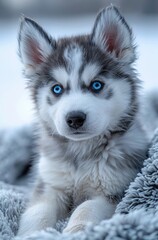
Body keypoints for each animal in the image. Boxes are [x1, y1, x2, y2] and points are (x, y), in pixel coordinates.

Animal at [17, 6, 149, 236]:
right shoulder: (49, 186)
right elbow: (37, 212)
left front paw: (76, 230)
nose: (75, 118)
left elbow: (86, 207)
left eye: (96, 85)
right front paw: (31, 235)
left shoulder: (113, 190)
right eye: (57, 89)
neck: (81, 152)